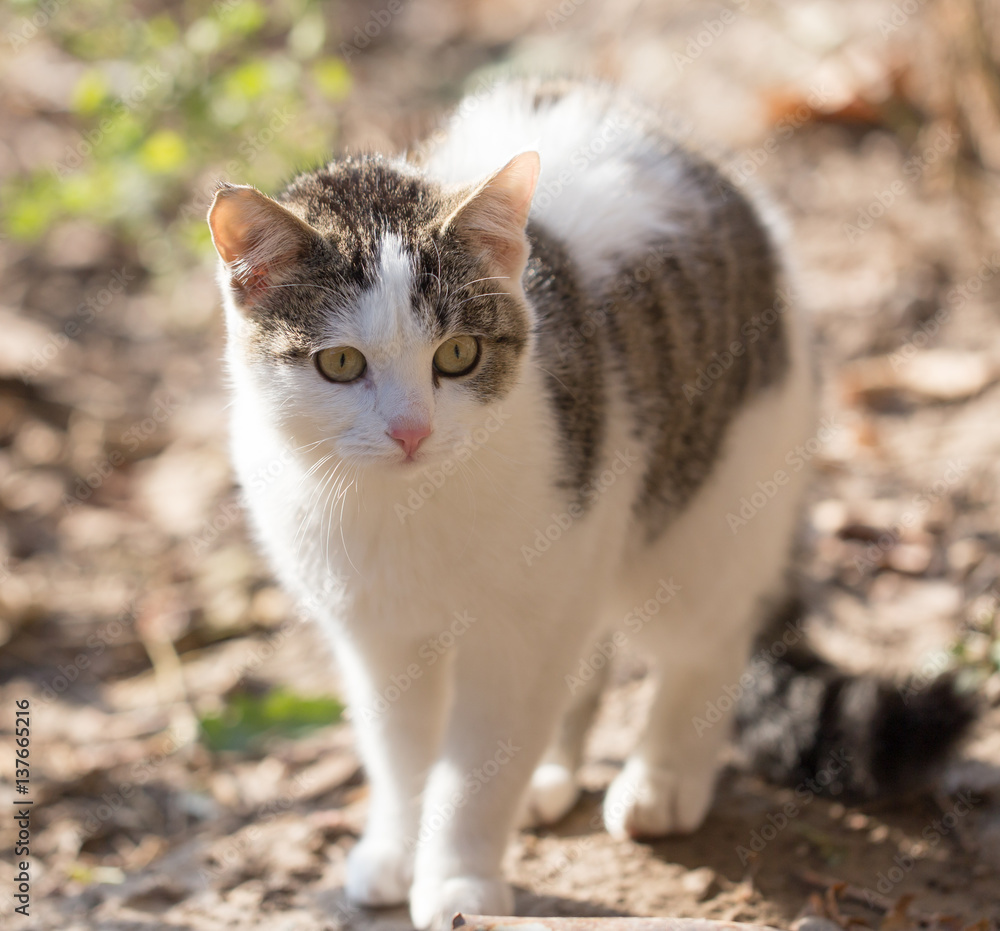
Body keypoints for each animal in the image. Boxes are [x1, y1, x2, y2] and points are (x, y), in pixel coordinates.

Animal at [209, 82, 968, 931]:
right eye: (340, 363)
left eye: (458, 355)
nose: (412, 430)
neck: (404, 508)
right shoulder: (379, 637)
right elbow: (403, 753)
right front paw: (399, 850)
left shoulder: (519, 625)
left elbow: (475, 766)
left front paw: (459, 878)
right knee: (590, 648)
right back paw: (551, 775)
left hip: (704, 501)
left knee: (707, 642)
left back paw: (665, 780)